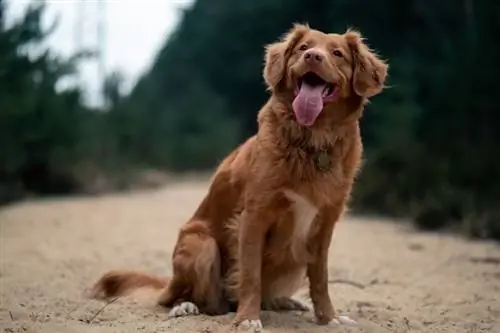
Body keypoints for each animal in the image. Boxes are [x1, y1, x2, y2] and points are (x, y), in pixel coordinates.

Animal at [89, 22, 386, 330]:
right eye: (303, 48)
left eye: (337, 53)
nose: (313, 57)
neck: (312, 140)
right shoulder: (254, 217)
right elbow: (251, 276)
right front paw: (247, 319)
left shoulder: (324, 225)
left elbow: (321, 279)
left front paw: (329, 317)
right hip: (202, 245)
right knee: (200, 302)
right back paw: (186, 306)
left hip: (292, 257)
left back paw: (286, 302)